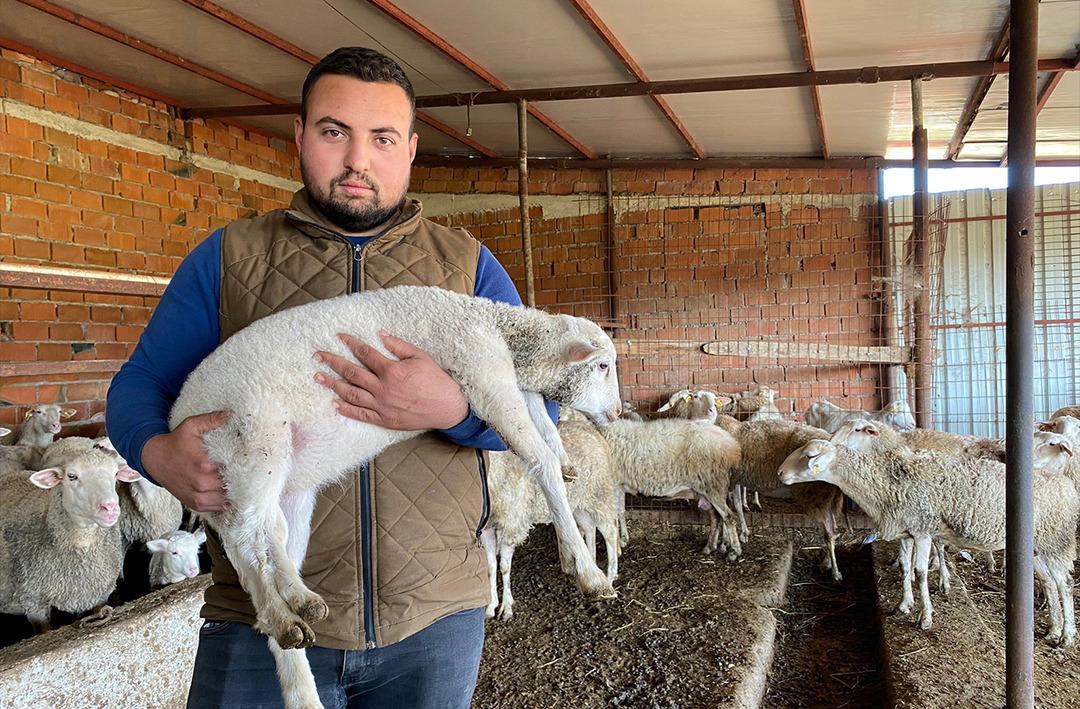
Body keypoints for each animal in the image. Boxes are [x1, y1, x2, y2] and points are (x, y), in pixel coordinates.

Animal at [481, 421, 617, 622]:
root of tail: (593, 431)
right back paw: (590, 561)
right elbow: (491, 567)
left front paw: (506, 607)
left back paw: (611, 576)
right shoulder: (488, 527)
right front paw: (491, 606)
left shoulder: (512, 522)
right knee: (588, 527)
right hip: (578, 501)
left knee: (610, 533)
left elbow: (504, 567)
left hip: (599, 494)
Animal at [600, 415, 743, 557]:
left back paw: (734, 552)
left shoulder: (613, 484)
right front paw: (623, 541)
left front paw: (617, 549)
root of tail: (733, 446)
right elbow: (620, 512)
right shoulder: (619, 485)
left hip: (714, 486)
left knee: (729, 518)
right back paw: (709, 547)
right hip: (706, 489)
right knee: (715, 517)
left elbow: (614, 517)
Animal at [781, 436, 1075, 644]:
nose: (780, 473)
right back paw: (1052, 630)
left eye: (810, 455)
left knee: (1065, 584)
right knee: (1049, 582)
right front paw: (904, 605)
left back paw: (1067, 637)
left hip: (1055, 540)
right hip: (1036, 547)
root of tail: (1066, 487)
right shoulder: (907, 531)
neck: (885, 483)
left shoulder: (923, 530)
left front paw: (925, 617)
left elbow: (921, 572)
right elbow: (905, 568)